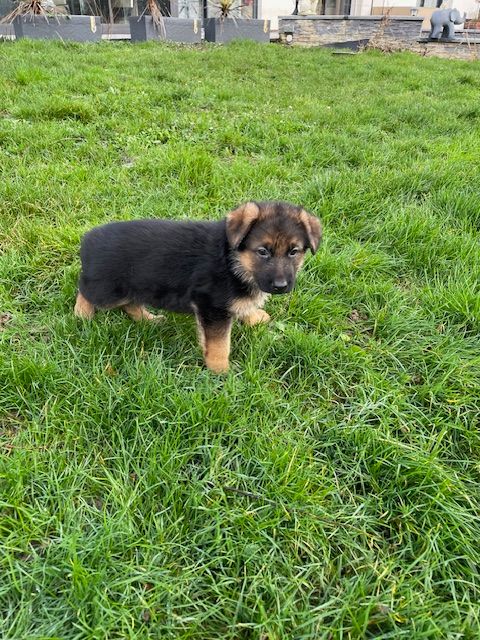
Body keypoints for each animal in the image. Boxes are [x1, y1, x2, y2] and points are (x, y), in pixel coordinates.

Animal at [74, 201, 322, 373]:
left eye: (294, 251)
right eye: (262, 251)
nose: (281, 286)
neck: (233, 260)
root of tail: (87, 240)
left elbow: (243, 305)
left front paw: (253, 316)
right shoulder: (212, 307)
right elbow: (220, 343)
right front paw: (221, 371)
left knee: (131, 305)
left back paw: (148, 320)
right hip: (109, 290)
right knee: (84, 289)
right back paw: (82, 314)